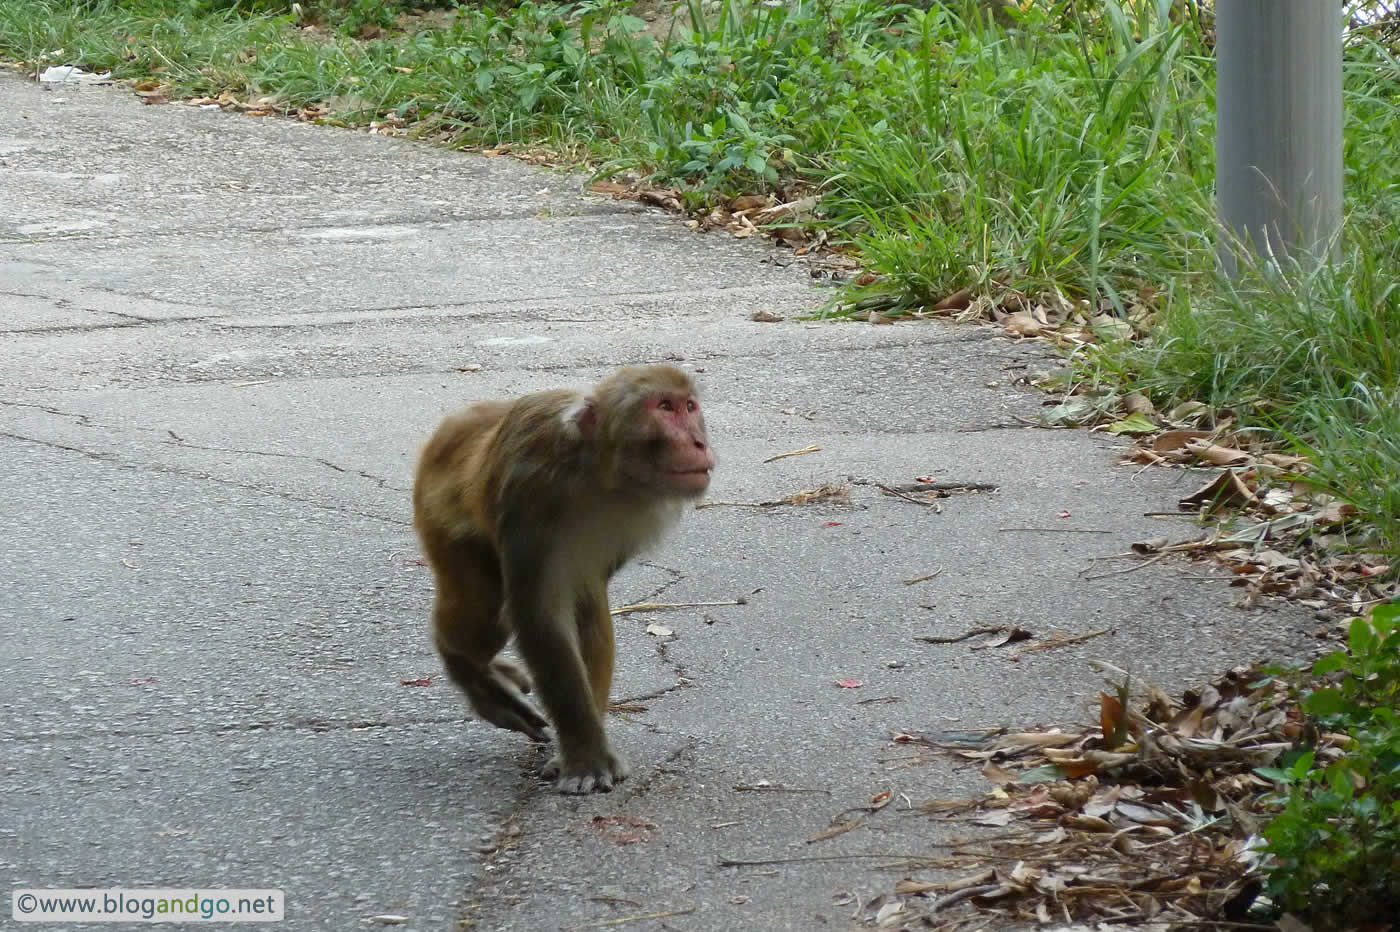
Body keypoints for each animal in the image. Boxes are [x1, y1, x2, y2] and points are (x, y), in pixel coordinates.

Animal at [406, 363, 711, 789]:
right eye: (665, 407)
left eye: (689, 407)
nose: (699, 442)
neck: (597, 472)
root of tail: (457, 421)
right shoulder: (531, 489)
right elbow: (540, 616)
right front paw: (586, 757)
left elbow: (585, 604)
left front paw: (580, 746)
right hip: (440, 518)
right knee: (480, 621)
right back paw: (467, 668)